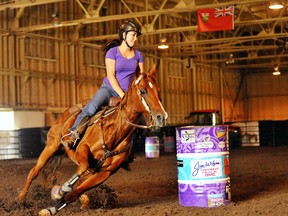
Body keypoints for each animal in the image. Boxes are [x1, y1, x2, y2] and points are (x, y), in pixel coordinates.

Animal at [16, 65, 168, 215]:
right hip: (51, 146)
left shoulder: (104, 173)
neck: (114, 132)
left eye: (158, 90)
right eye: (142, 90)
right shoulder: (82, 149)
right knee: (33, 172)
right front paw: (61, 191)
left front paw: (52, 206)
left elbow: (75, 192)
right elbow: (81, 168)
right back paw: (20, 200)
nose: (162, 116)